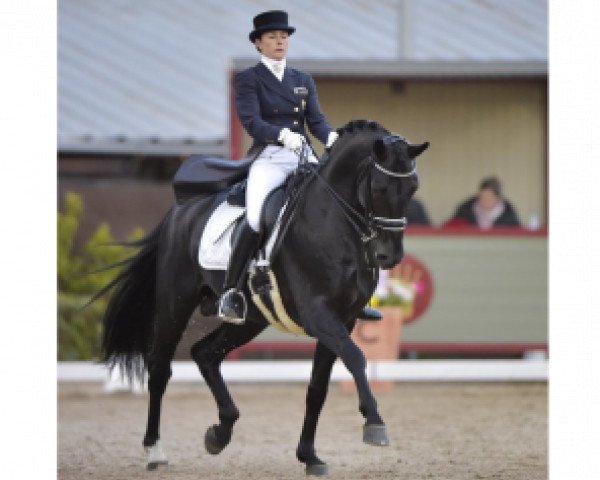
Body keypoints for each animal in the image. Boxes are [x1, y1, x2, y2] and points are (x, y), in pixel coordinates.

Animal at [99, 119, 426, 472]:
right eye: (379, 188)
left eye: (413, 188)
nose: (388, 256)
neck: (333, 221)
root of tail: (180, 209)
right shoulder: (318, 314)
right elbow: (356, 357)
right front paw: (374, 423)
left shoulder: (344, 318)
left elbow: (318, 389)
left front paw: (309, 456)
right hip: (175, 302)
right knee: (160, 367)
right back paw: (155, 450)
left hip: (250, 319)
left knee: (205, 353)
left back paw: (220, 433)